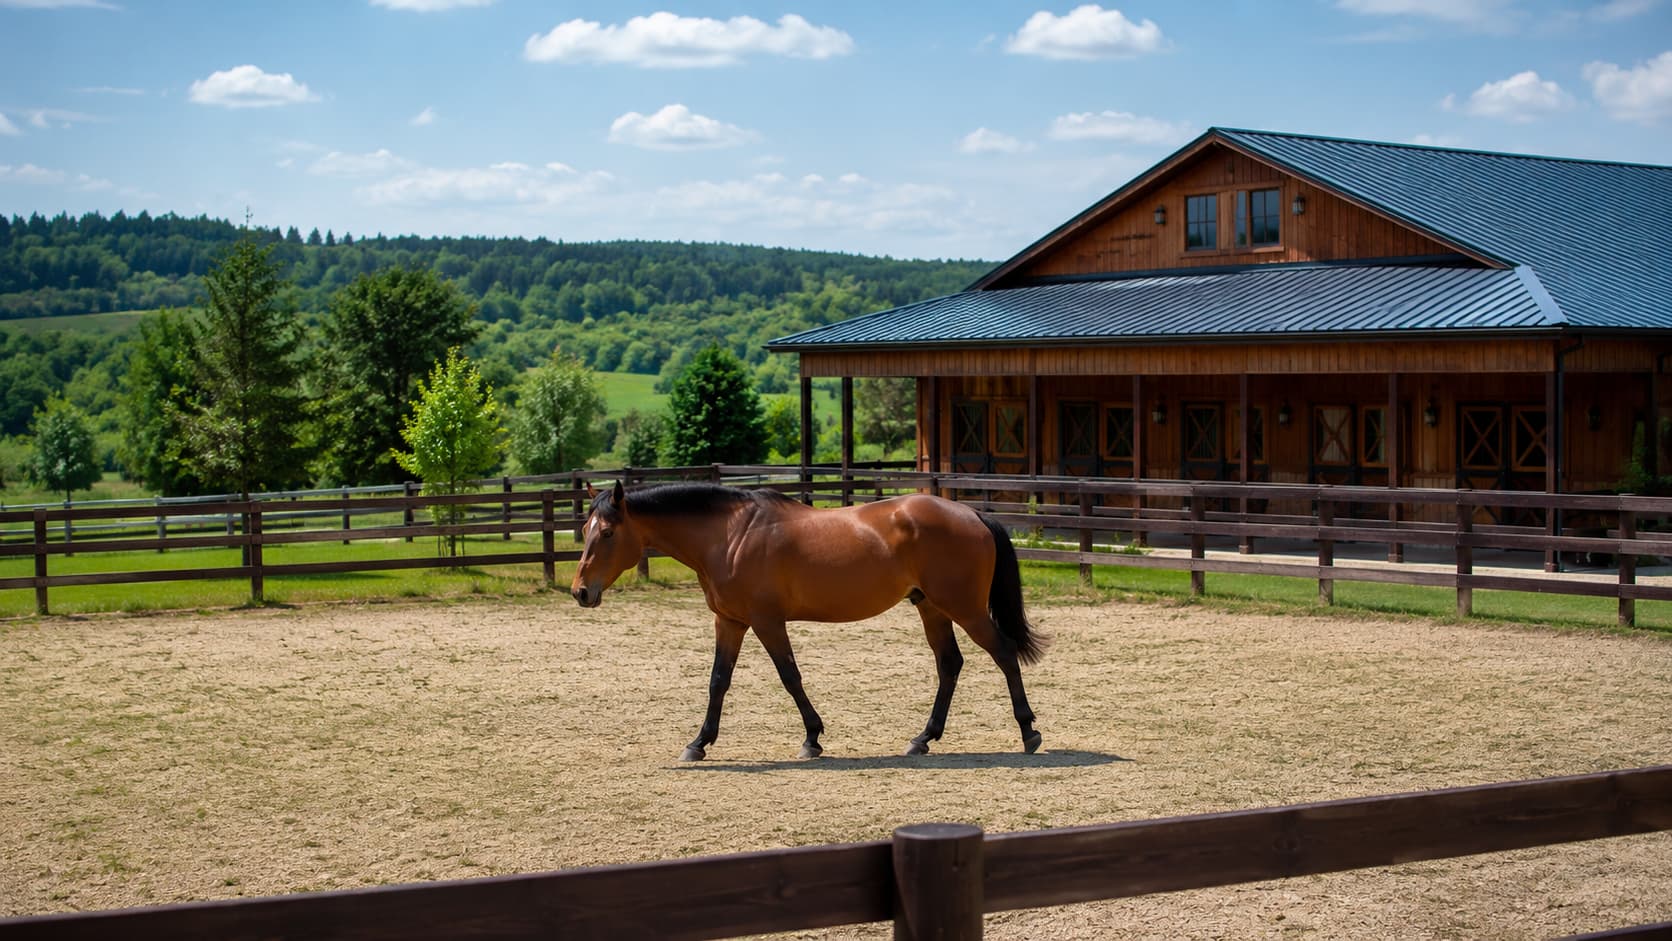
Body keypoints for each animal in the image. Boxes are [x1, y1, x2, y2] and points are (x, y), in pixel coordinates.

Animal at [570, 481, 1044, 761]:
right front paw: (698, 743)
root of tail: (972, 514)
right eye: (586, 527)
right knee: (949, 665)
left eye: (607, 532)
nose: (580, 591)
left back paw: (1028, 732)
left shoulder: (767, 622)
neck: (729, 535)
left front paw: (812, 738)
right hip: (931, 608)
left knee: (1003, 654)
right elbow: (718, 681)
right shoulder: (730, 622)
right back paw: (922, 738)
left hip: (964, 609)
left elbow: (789, 676)